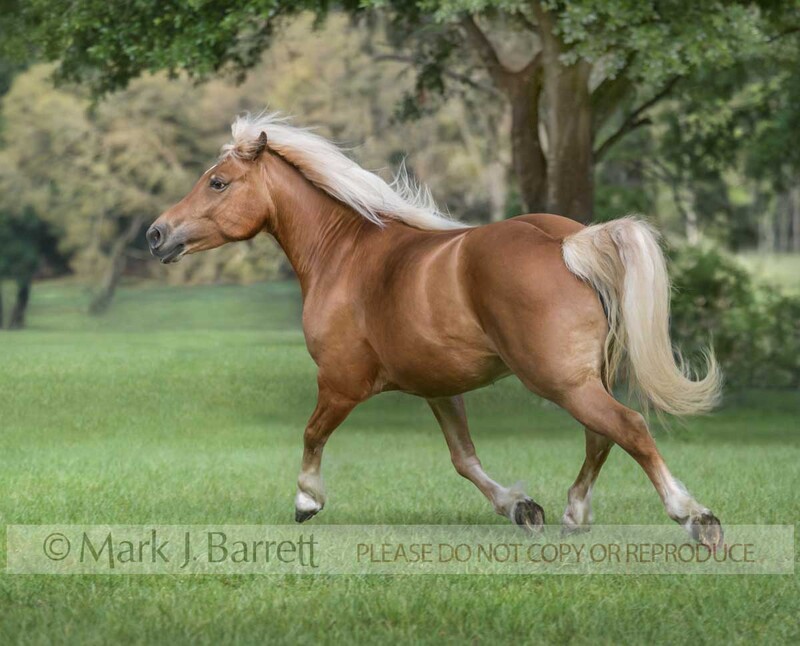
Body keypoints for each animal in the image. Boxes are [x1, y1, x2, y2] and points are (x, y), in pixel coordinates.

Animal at [146, 112, 723, 547]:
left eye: (217, 182)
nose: (156, 234)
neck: (344, 254)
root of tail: (569, 243)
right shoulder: (439, 389)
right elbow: (464, 459)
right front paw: (520, 507)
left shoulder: (340, 381)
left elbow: (312, 433)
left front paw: (307, 499)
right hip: (583, 379)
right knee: (601, 437)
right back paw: (573, 514)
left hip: (560, 381)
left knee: (628, 427)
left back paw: (695, 517)